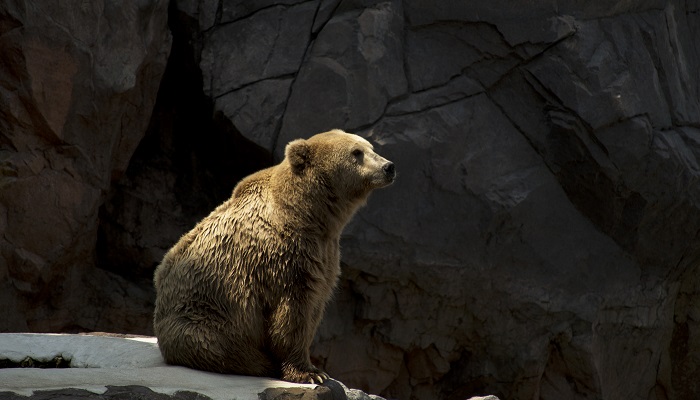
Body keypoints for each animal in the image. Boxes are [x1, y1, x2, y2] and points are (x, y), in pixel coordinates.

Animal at [153, 129, 395, 384]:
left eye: (370, 147)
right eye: (356, 152)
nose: (389, 166)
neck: (312, 214)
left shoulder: (325, 252)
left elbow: (315, 304)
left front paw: (313, 368)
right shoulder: (285, 255)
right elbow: (293, 313)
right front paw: (310, 373)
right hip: (203, 317)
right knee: (221, 346)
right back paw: (260, 363)